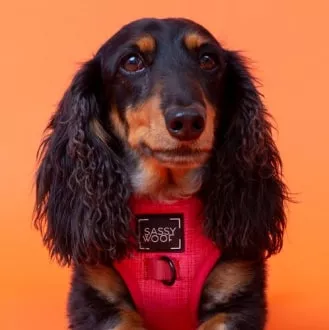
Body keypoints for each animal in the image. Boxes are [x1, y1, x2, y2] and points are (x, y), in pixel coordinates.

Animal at [34, 18, 288, 330]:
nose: (188, 121)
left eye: (208, 60)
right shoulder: (96, 301)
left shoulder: (239, 299)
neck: (166, 199)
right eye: (132, 62)